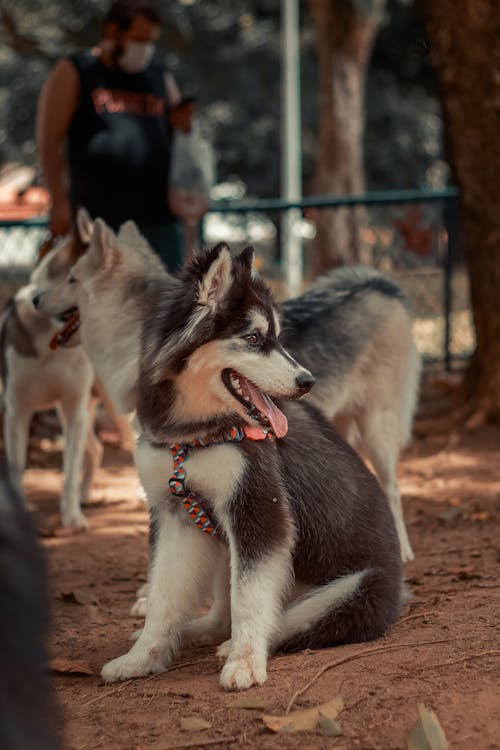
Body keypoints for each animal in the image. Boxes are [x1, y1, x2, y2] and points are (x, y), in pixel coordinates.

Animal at [96, 244, 402, 692]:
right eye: (254, 339)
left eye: (278, 338)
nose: (307, 381)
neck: (195, 436)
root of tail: (400, 590)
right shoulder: (176, 515)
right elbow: (163, 597)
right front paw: (142, 657)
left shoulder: (259, 510)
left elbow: (251, 599)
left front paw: (244, 663)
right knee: (222, 615)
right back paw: (194, 632)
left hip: (349, 590)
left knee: (279, 619)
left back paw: (234, 647)